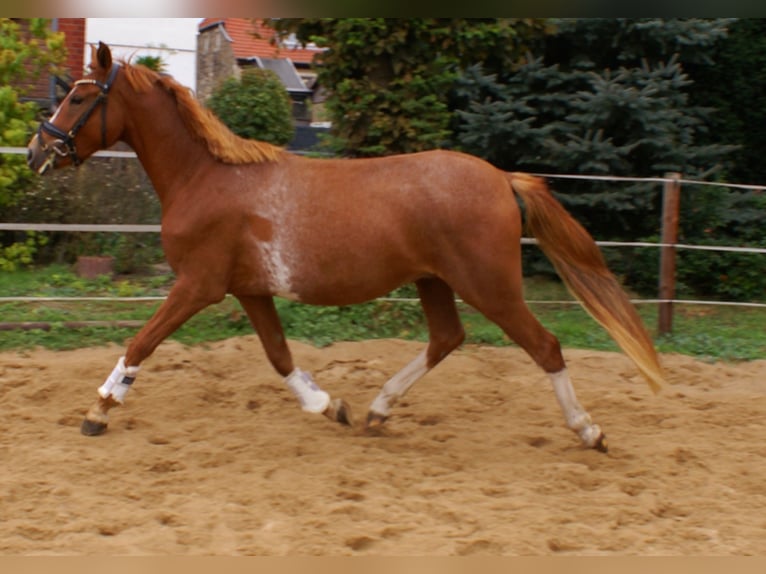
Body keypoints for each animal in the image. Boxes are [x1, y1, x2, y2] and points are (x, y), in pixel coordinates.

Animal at [28, 42, 664, 452]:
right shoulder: (248, 290)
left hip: (490, 285)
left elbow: (142, 341)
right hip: (435, 280)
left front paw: (97, 411)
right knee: (447, 338)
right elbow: (280, 356)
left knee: (545, 347)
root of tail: (503, 178)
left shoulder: (198, 286)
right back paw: (378, 411)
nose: (37, 151)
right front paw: (330, 407)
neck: (204, 177)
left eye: (80, 98)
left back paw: (589, 431)